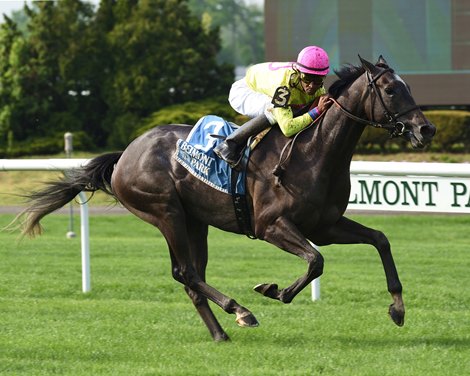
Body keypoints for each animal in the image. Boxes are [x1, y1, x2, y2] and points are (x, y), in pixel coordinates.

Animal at [14, 55, 436, 340]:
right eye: (390, 89)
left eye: (408, 86)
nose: (426, 129)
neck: (313, 152)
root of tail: (125, 155)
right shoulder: (271, 225)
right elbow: (316, 261)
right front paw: (275, 291)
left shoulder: (325, 225)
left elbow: (380, 239)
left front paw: (398, 307)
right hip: (166, 212)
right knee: (186, 273)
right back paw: (241, 310)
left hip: (194, 220)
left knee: (191, 276)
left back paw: (221, 332)